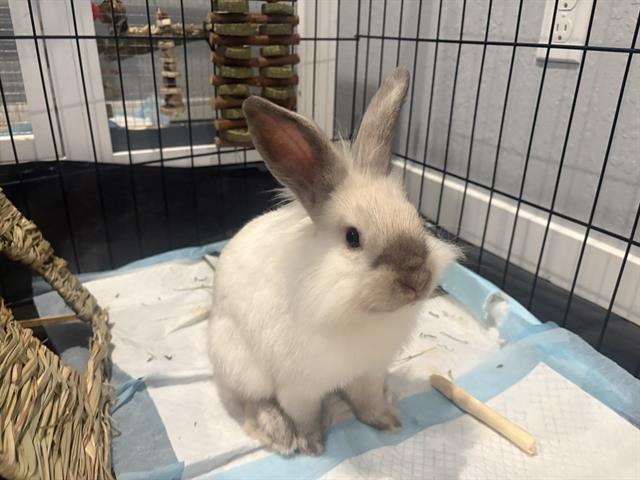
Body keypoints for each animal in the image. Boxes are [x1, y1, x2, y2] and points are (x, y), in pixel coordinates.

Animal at [208, 66, 458, 456]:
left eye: (414, 216)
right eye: (352, 238)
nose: (416, 279)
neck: (357, 312)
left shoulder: (369, 372)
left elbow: (368, 400)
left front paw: (387, 422)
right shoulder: (300, 388)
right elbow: (305, 414)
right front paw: (312, 445)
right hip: (240, 362)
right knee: (252, 400)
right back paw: (278, 432)